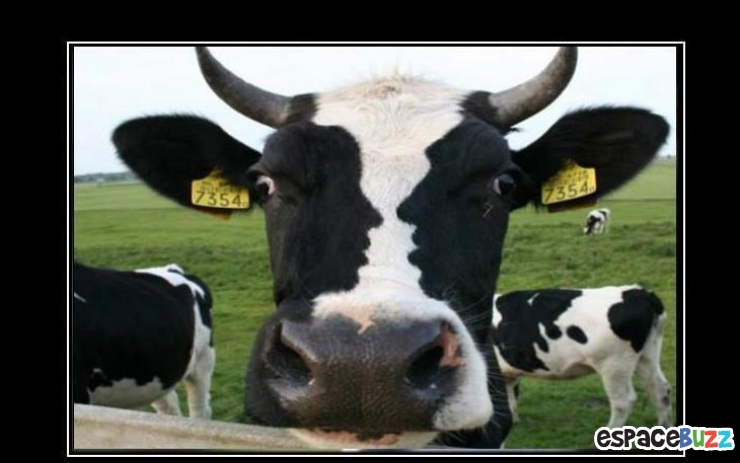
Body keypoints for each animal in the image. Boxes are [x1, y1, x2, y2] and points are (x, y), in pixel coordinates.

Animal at [491, 285, 671, 429]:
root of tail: (640, 293)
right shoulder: (507, 371)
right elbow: (510, 395)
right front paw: (512, 421)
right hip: (647, 355)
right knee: (660, 390)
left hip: (614, 364)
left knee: (623, 402)